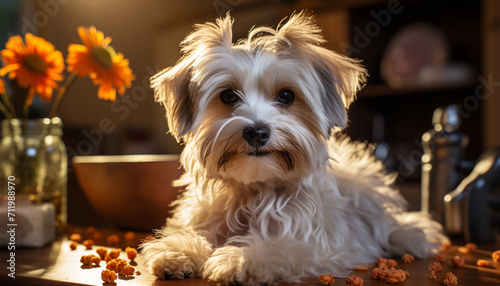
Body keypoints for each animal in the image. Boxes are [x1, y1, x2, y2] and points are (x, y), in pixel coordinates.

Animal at [140, 10, 446, 284]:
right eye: (228, 96)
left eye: (286, 96)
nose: (257, 132)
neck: (257, 188)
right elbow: (195, 232)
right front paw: (179, 252)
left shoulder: (319, 244)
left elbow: (283, 246)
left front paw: (242, 258)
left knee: (392, 227)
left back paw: (409, 236)